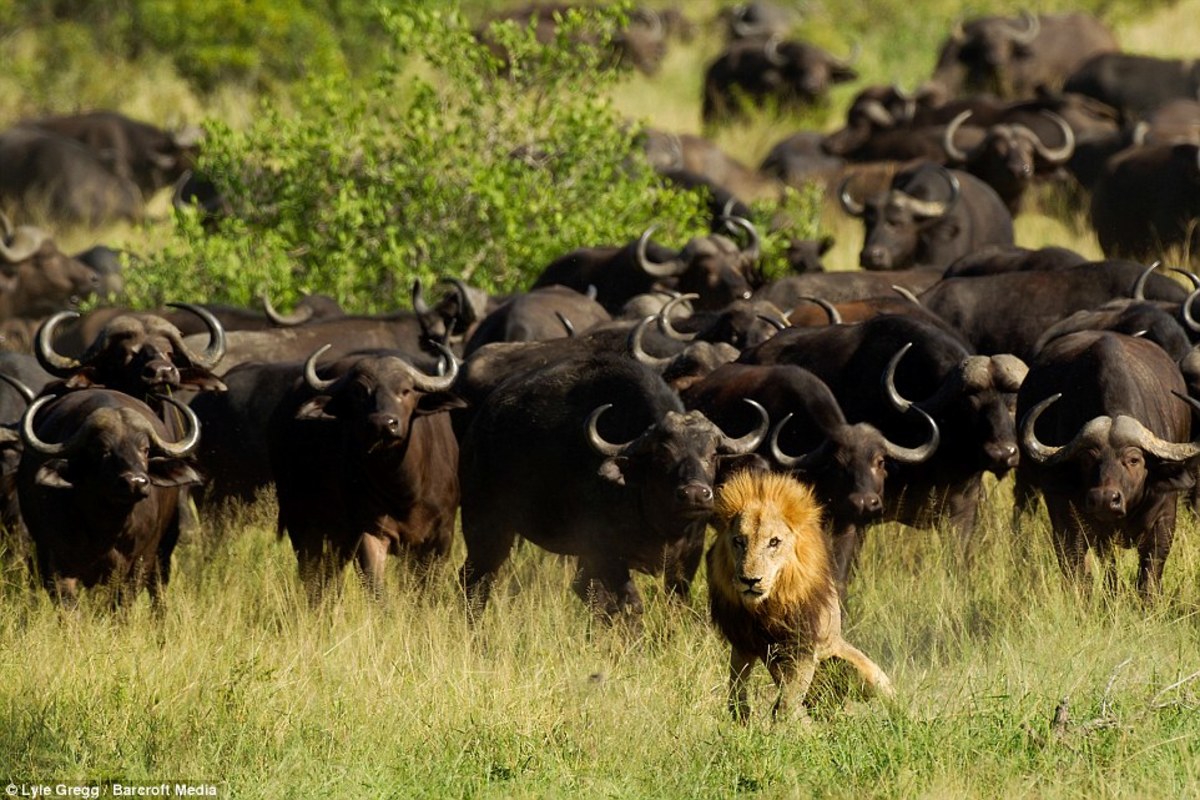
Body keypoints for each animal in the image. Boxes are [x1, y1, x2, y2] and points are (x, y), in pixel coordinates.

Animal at [705, 472, 897, 724]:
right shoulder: (743, 643)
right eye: (739, 541)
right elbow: (736, 690)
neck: (767, 606)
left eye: (774, 542)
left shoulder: (804, 648)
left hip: (863, 669)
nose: (750, 580)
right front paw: (742, 720)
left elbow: (787, 705)